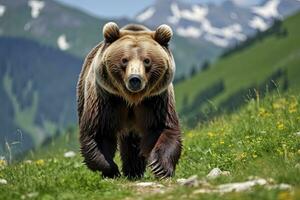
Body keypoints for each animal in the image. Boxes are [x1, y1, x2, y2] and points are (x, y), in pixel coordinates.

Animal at [76, 22, 182, 180]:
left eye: (147, 60)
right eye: (124, 60)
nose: (135, 79)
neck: (132, 99)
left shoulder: (155, 100)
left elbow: (162, 128)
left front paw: (160, 167)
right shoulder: (107, 98)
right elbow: (99, 132)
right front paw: (111, 169)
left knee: (133, 144)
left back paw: (134, 171)